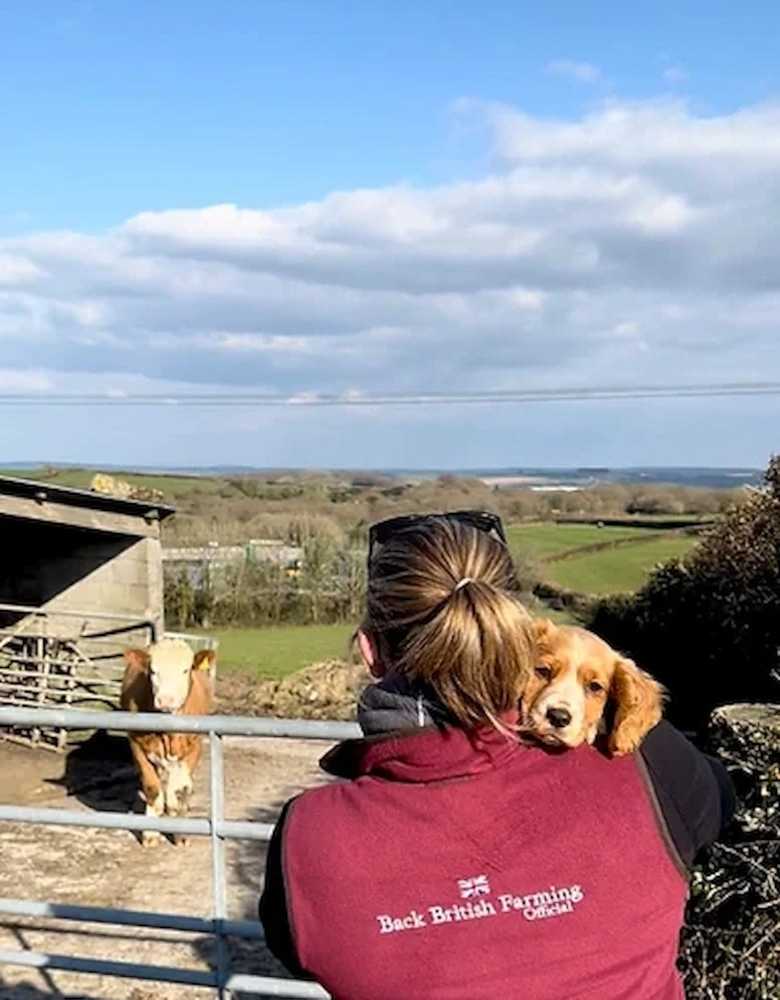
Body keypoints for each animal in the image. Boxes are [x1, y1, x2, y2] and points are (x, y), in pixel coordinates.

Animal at [120, 640, 215, 844]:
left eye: (186, 670)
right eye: (152, 671)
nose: (166, 700)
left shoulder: (194, 746)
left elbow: (181, 788)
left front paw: (180, 834)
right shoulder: (136, 743)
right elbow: (152, 789)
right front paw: (150, 834)